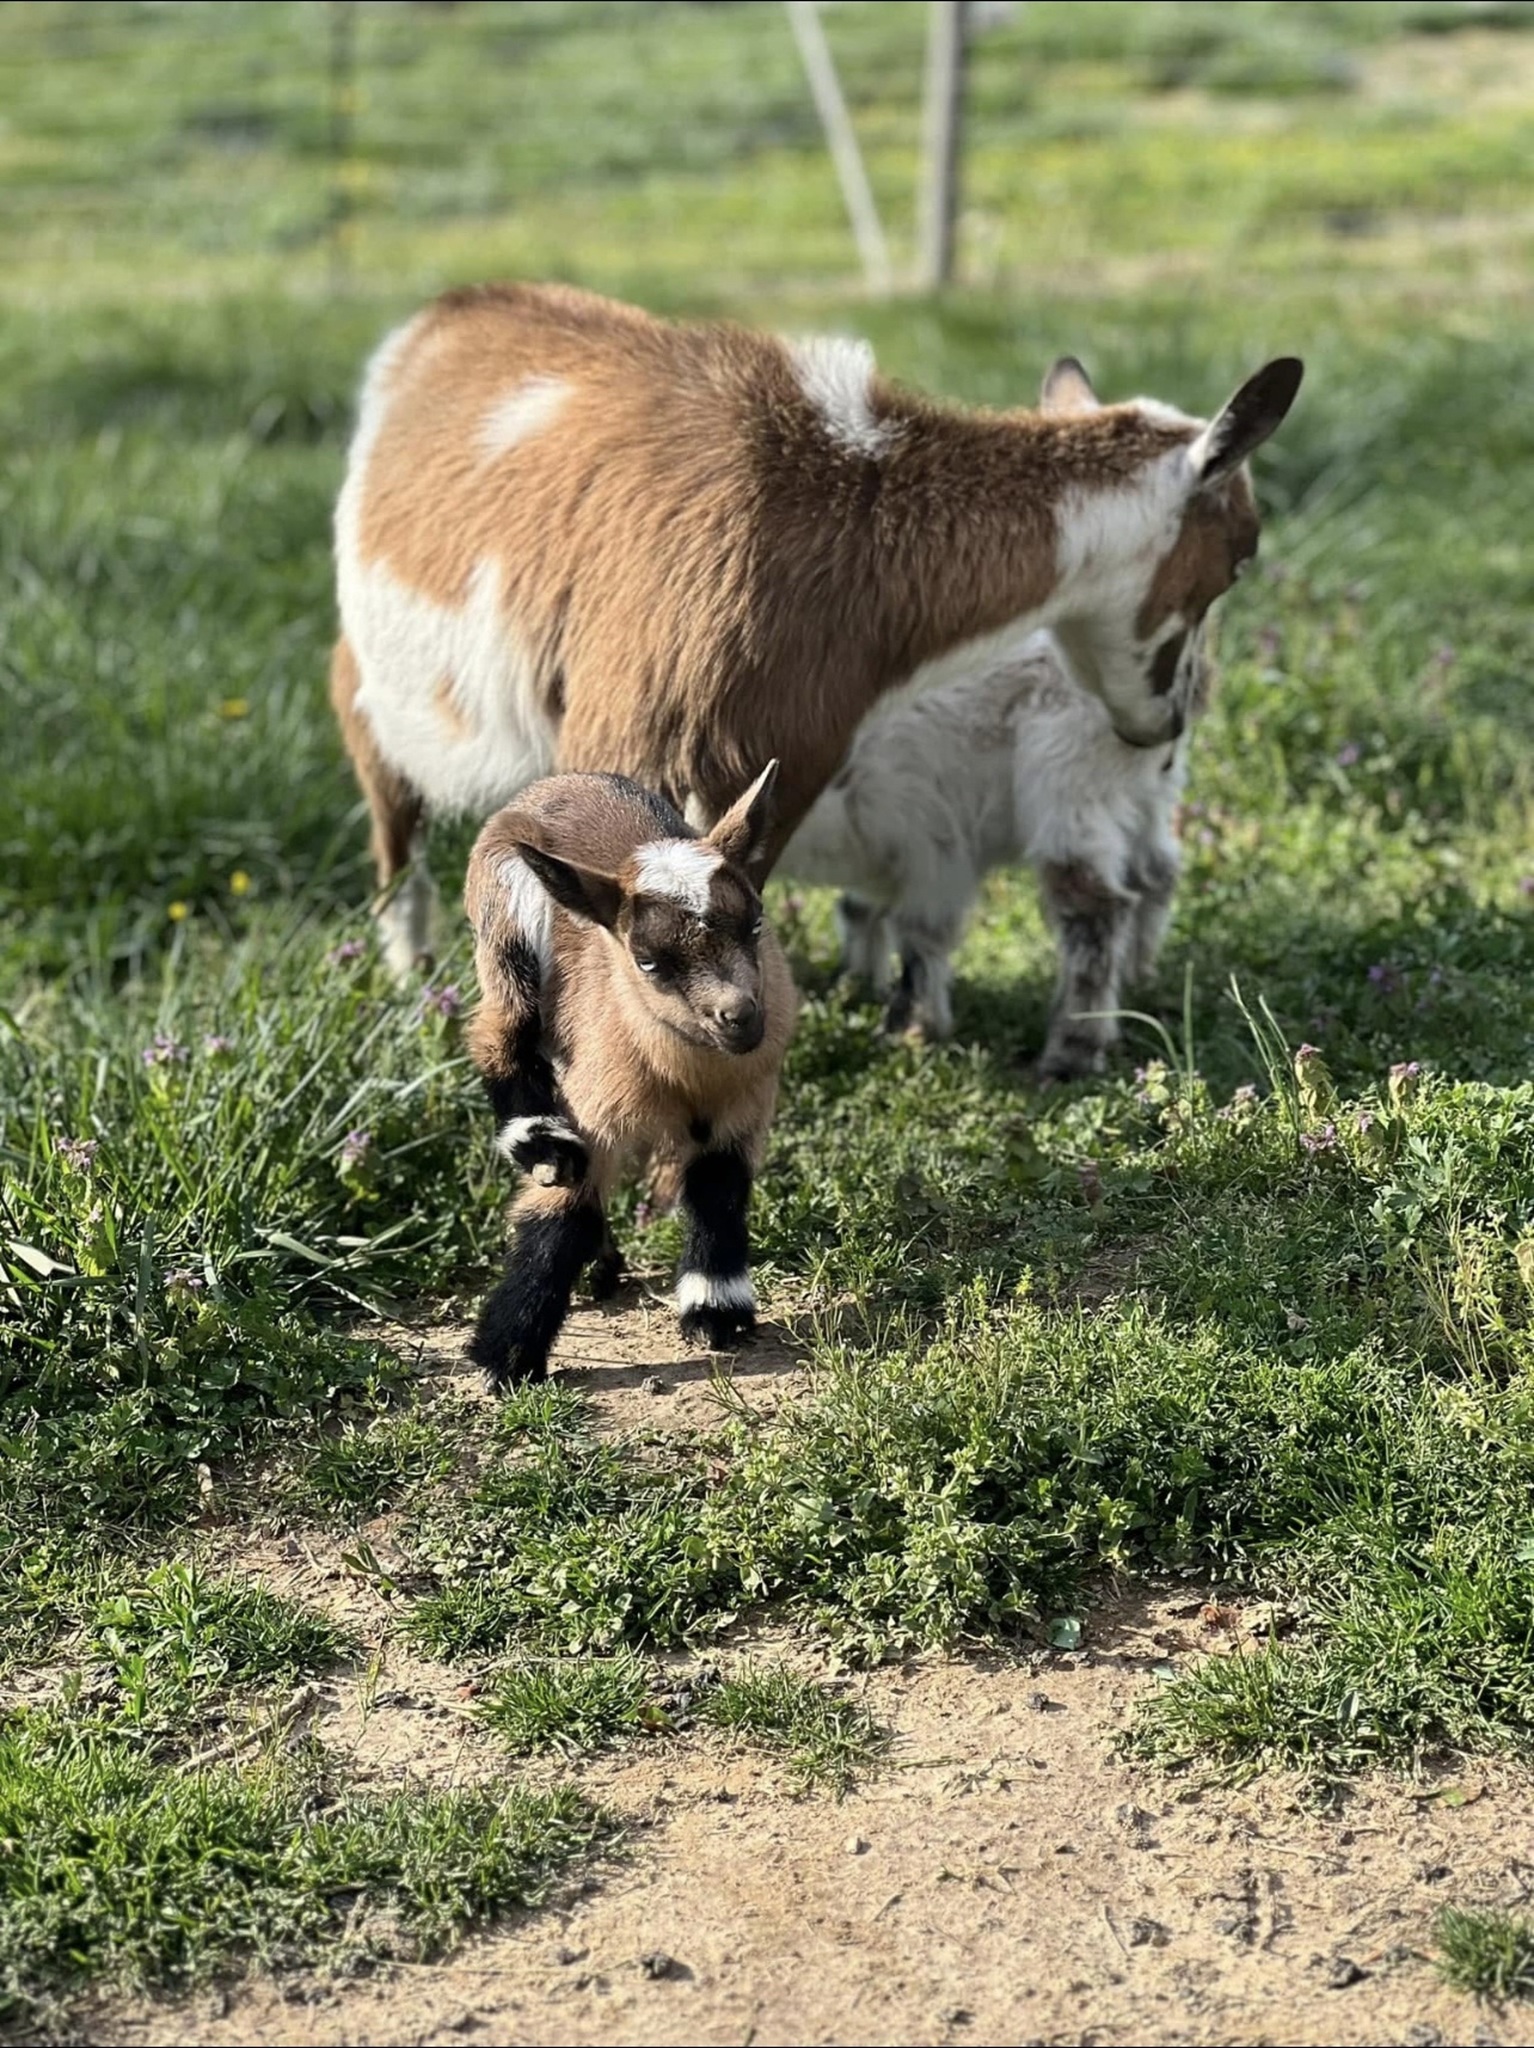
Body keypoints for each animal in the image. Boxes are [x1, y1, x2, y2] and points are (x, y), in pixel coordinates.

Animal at [330, 283, 1301, 974]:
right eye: (1239, 557)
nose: (1167, 723)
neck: (840, 499)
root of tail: (451, 309)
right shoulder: (622, 736)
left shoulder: (786, 758)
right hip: (372, 681)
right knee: (394, 824)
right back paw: (410, 978)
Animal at [462, 761, 794, 1391]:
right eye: (648, 962)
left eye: (756, 924)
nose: (741, 1017)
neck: (687, 1079)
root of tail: (563, 782)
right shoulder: (596, 1104)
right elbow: (564, 1213)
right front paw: (505, 1357)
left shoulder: (743, 1108)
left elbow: (718, 1189)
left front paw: (716, 1313)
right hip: (503, 928)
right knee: (497, 1032)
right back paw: (535, 1138)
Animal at [779, 627, 1202, 1076]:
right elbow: (862, 911)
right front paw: (855, 986)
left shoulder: (929, 842)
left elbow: (919, 938)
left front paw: (908, 1033)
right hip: (1147, 795)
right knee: (1156, 875)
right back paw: (1138, 980)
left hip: (1068, 782)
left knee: (1094, 910)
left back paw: (1071, 1054)